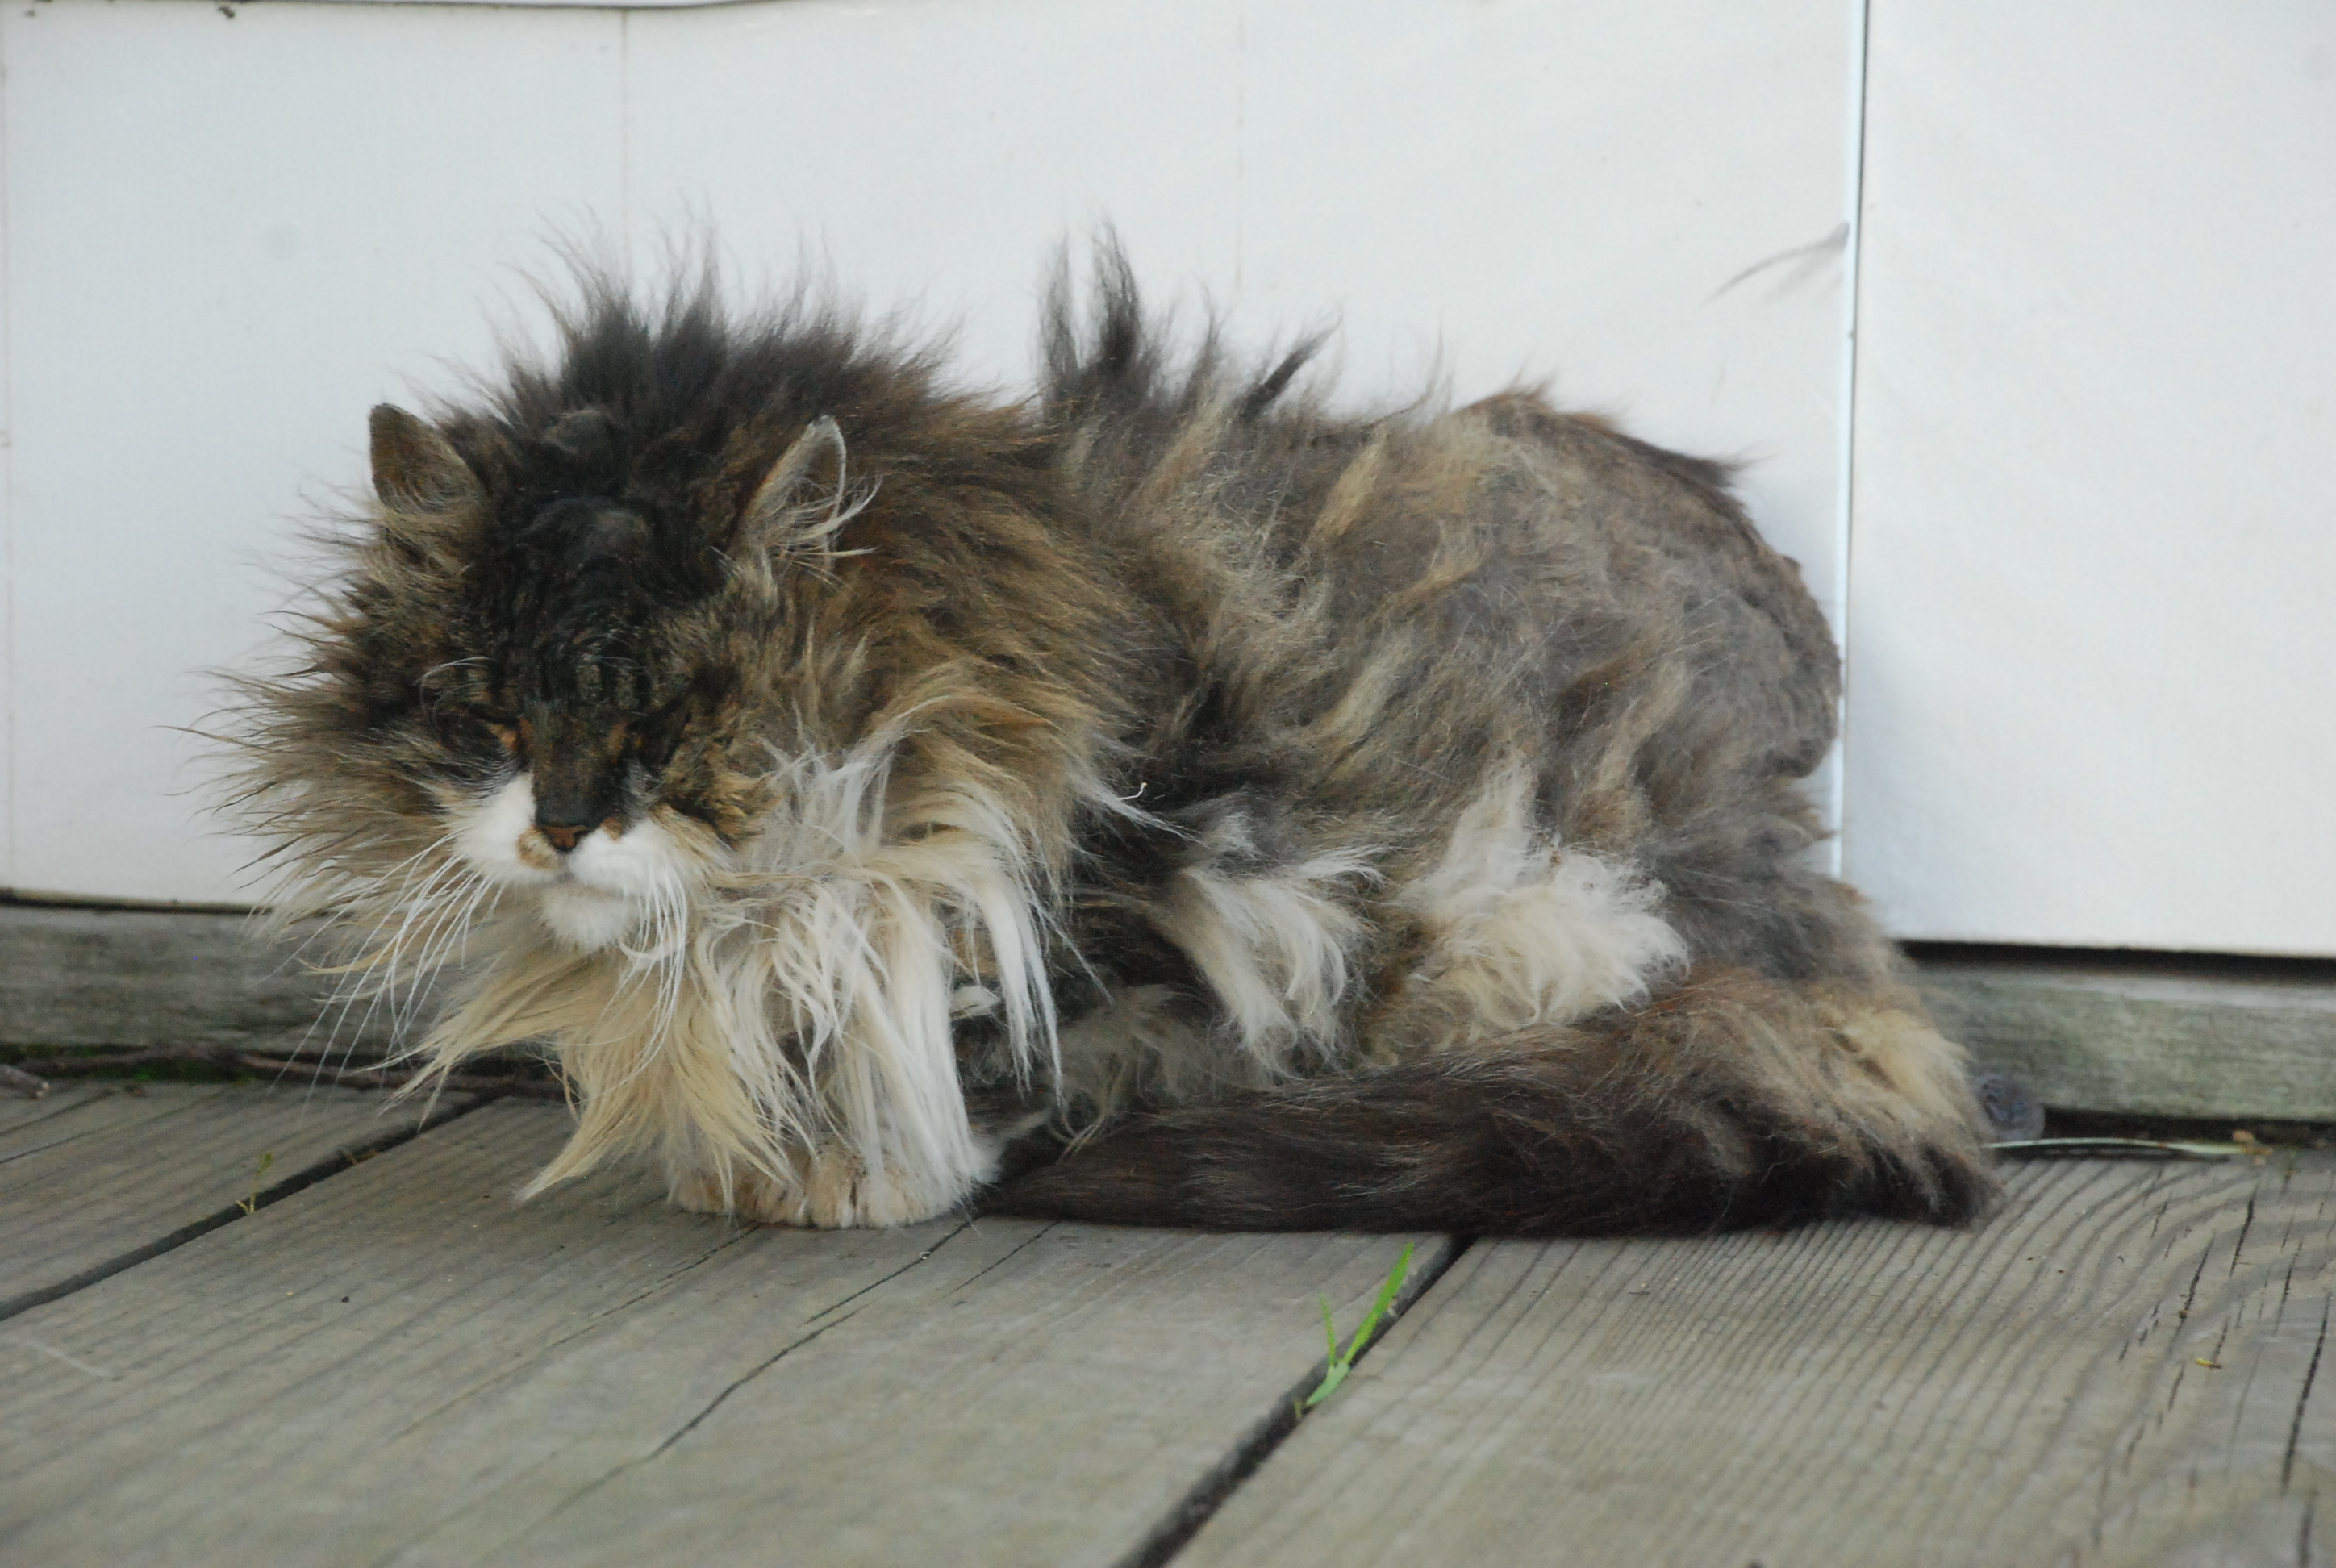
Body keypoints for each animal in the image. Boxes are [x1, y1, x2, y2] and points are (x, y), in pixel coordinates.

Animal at [232, 251, 1990, 1243]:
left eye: (673, 723)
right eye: (494, 720)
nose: (561, 822)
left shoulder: (1132, 873)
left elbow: (991, 1031)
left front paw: (860, 1173)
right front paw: (764, 1155)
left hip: (1538, 906)